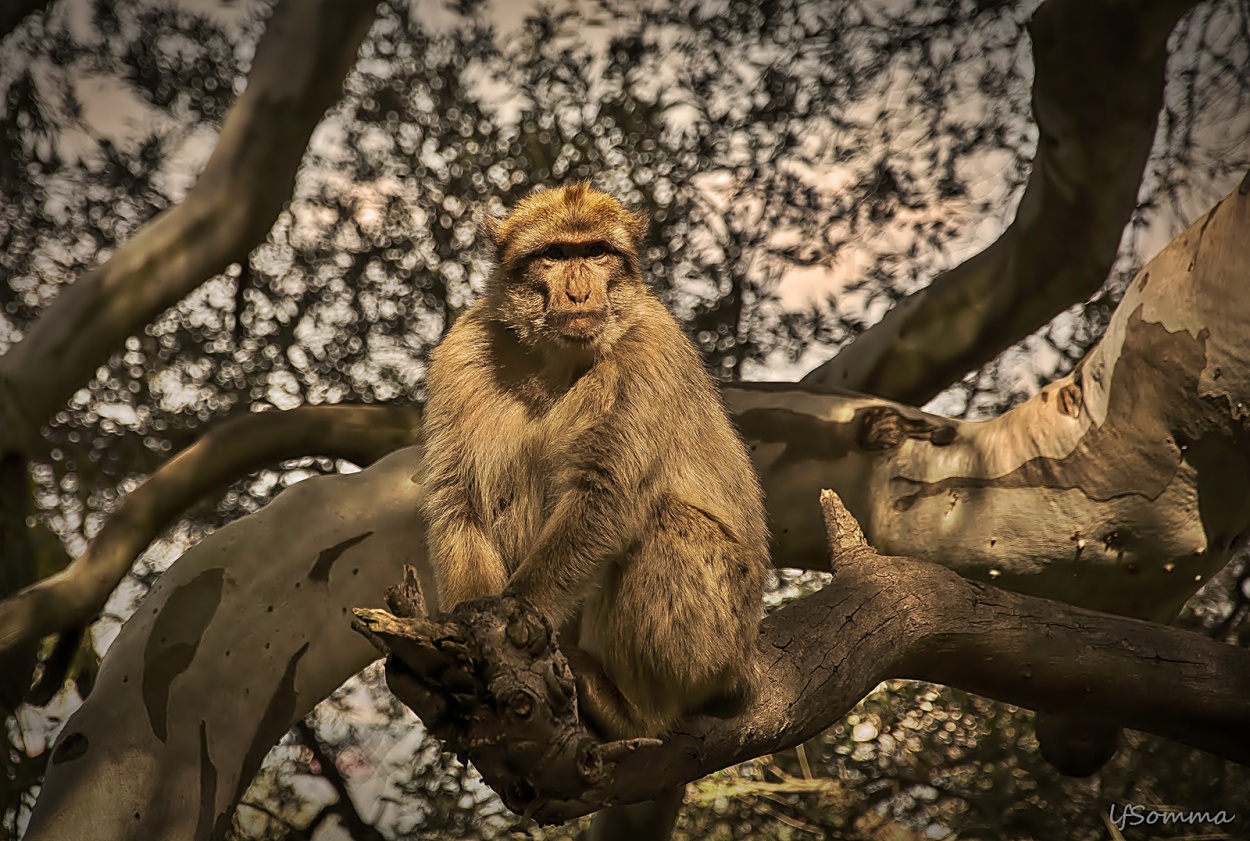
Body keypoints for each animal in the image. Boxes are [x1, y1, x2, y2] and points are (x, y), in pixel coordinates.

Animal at [422, 182, 770, 734]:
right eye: (554, 255)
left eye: (597, 252)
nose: (580, 291)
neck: (557, 359)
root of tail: (746, 662)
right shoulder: (463, 349)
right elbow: (460, 501)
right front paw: (472, 629)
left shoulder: (650, 350)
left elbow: (604, 492)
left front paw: (513, 618)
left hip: (717, 638)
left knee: (665, 519)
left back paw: (633, 712)